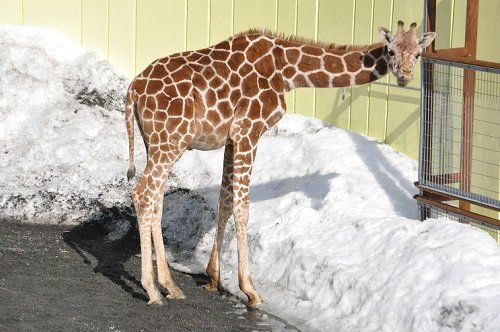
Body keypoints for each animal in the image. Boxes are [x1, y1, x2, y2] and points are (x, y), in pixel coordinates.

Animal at [124, 20, 434, 306]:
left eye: (418, 53)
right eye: (391, 51)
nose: (405, 76)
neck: (286, 71)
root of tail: (133, 92)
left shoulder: (231, 139)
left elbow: (225, 201)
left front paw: (214, 277)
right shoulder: (248, 131)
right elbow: (242, 207)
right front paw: (250, 290)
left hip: (157, 143)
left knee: (155, 199)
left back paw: (170, 285)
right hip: (171, 141)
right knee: (143, 193)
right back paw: (153, 289)